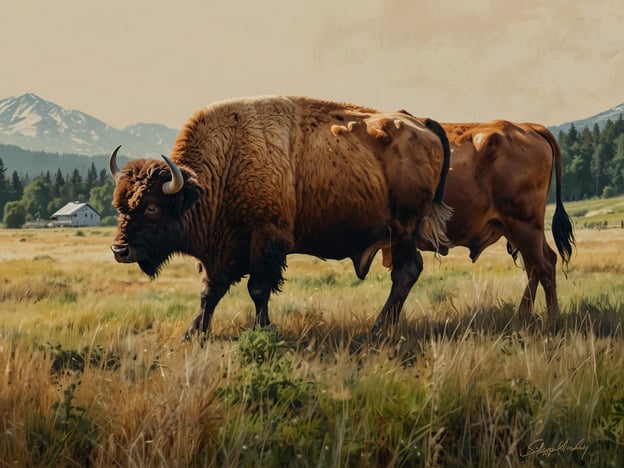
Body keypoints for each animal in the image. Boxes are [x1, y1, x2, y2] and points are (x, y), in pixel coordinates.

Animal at [109, 95, 450, 338]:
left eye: (152, 207)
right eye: (119, 206)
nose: (119, 250)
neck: (224, 165)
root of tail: (420, 122)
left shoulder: (265, 238)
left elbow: (258, 289)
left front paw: (264, 330)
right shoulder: (222, 250)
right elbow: (210, 291)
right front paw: (192, 334)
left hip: (403, 229)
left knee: (405, 273)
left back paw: (375, 331)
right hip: (400, 233)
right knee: (408, 273)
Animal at [380, 118, 576, 330]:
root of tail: (529, 127)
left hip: (525, 226)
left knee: (544, 267)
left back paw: (552, 322)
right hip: (520, 231)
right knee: (539, 265)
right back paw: (522, 318)